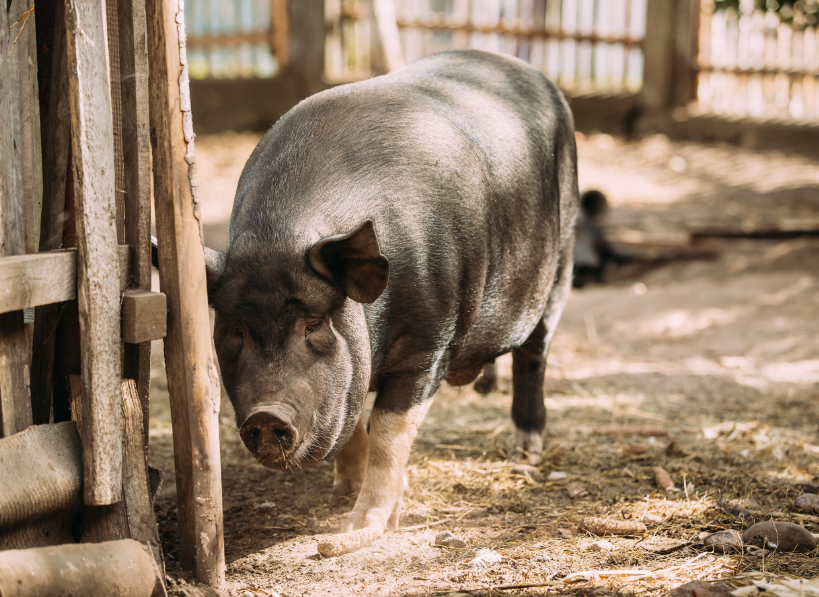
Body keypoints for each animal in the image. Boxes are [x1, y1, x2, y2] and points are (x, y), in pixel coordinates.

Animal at [203, 50, 580, 532]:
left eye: (313, 324)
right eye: (235, 330)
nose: (267, 415)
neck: (282, 237)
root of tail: (526, 69)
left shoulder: (429, 342)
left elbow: (387, 430)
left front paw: (363, 525)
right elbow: (349, 421)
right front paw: (342, 495)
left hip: (560, 261)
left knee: (534, 355)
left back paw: (525, 453)